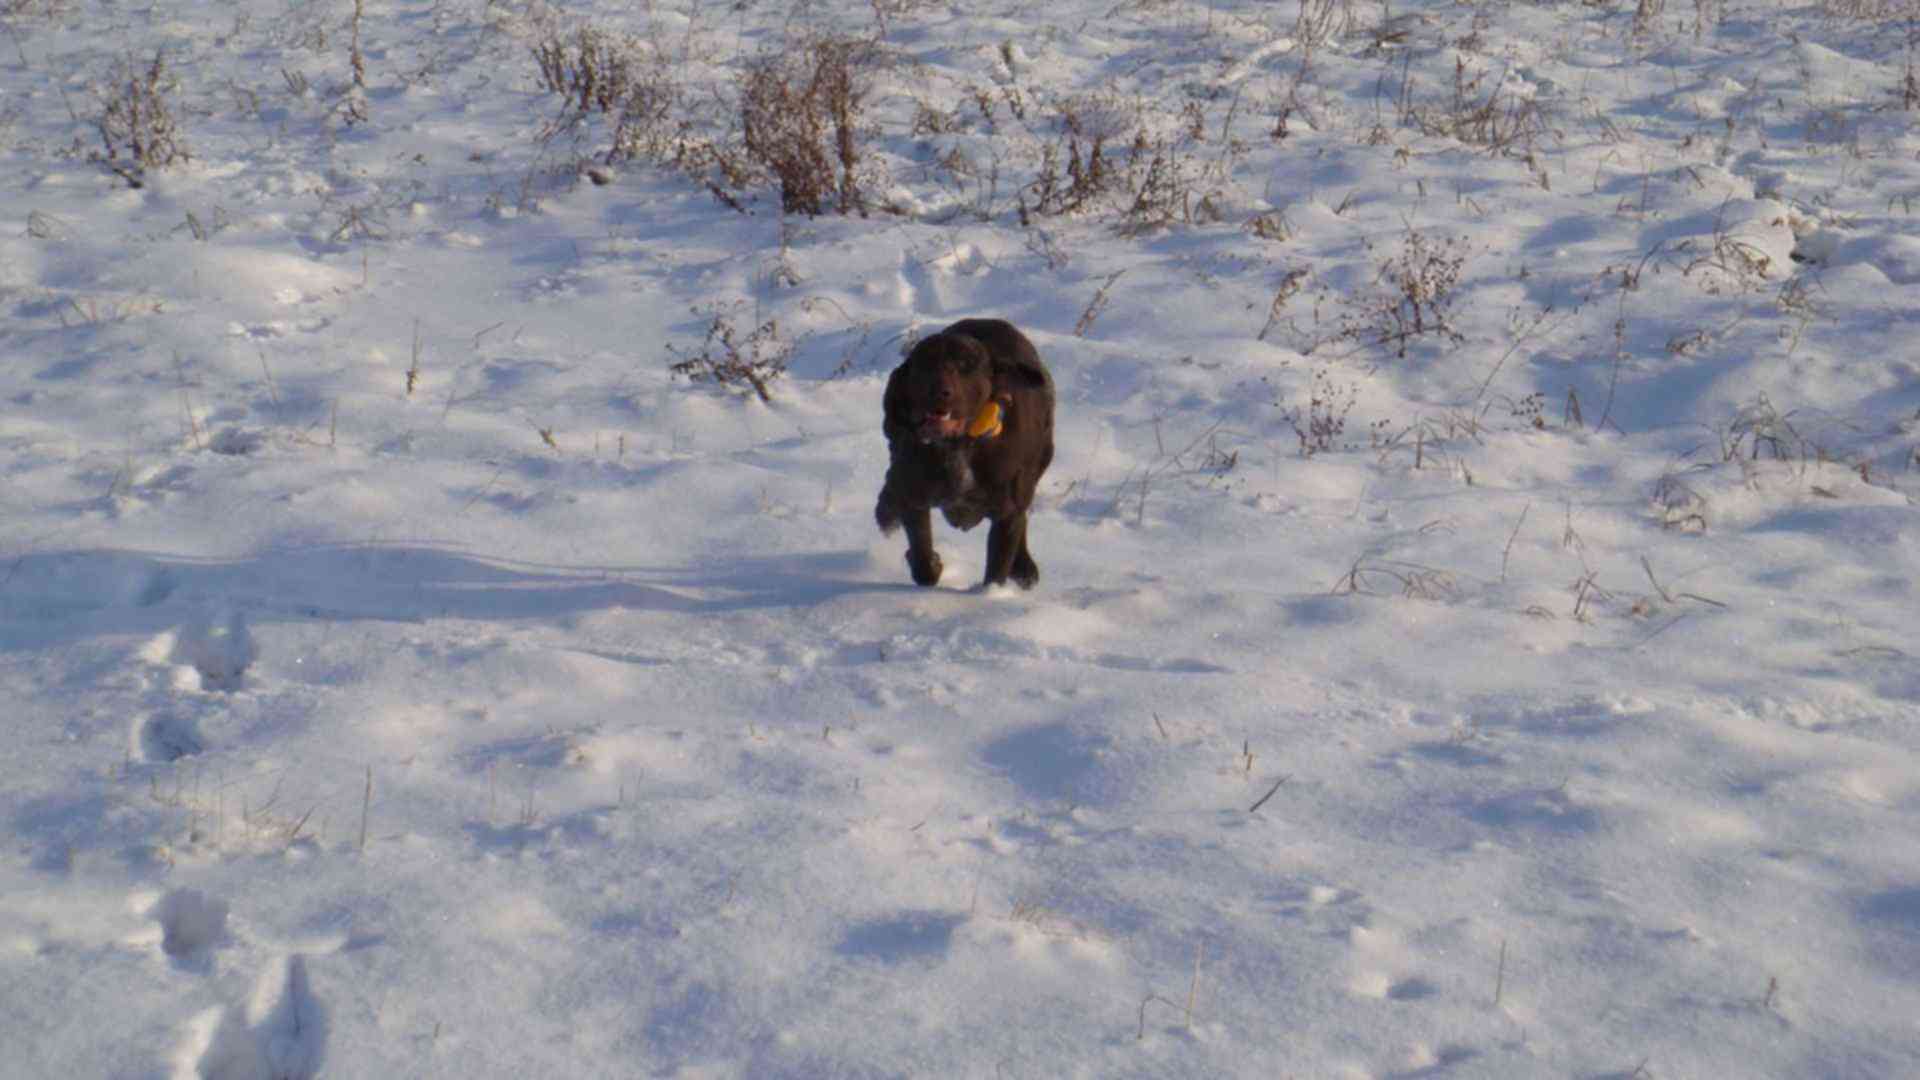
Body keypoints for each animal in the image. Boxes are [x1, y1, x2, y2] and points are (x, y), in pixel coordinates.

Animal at [879, 319, 1059, 588]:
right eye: (924, 365)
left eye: (966, 366)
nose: (940, 391)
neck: (958, 445)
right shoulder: (915, 496)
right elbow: (922, 558)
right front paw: (932, 564)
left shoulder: (1007, 512)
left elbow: (997, 568)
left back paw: (1024, 567)